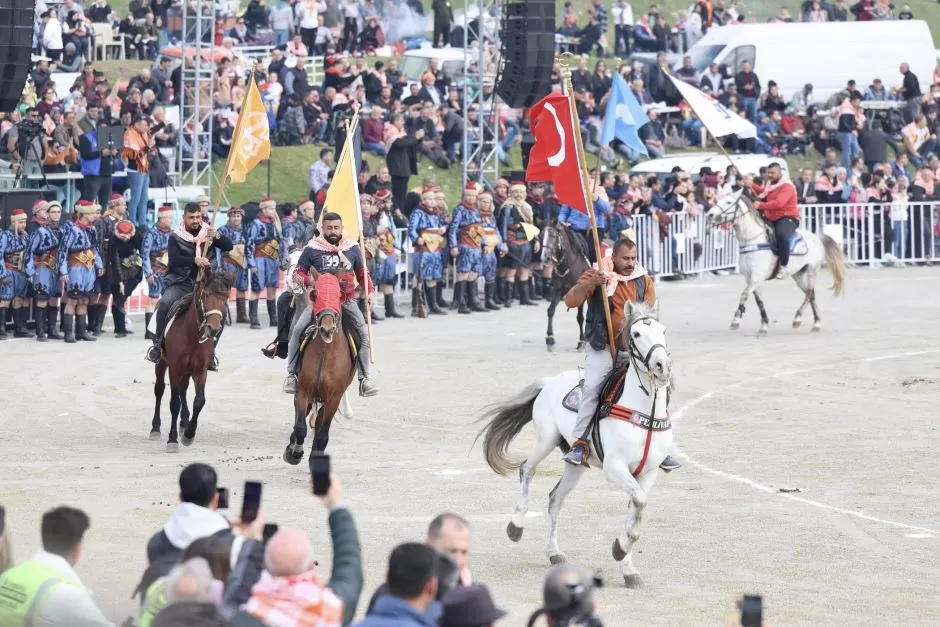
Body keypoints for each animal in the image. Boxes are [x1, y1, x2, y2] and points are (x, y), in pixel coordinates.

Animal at [151, 270, 233, 452]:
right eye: (207, 295)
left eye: (225, 297)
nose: (213, 329)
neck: (191, 335)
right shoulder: (175, 368)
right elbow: (174, 403)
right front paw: (172, 440)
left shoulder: (200, 370)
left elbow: (199, 401)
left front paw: (189, 434)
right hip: (162, 363)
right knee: (159, 390)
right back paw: (155, 427)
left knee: (183, 390)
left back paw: (184, 423)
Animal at [282, 274, 356, 466]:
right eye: (316, 295)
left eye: (339, 296)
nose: (326, 328)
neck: (326, 353)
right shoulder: (304, 390)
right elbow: (300, 426)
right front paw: (294, 453)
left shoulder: (334, 397)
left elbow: (323, 431)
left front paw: (316, 457)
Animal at [482, 304, 672, 588]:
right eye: (636, 333)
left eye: (663, 331)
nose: (662, 366)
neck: (643, 410)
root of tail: (549, 382)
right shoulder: (615, 467)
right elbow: (637, 503)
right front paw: (620, 550)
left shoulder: (647, 473)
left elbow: (635, 513)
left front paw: (627, 567)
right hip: (545, 440)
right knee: (526, 468)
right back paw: (515, 527)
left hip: (575, 464)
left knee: (555, 499)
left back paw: (554, 553)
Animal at [704, 191, 844, 336]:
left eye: (728, 202)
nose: (709, 215)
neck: (752, 240)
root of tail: (817, 237)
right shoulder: (750, 278)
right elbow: (759, 301)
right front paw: (764, 325)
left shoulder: (756, 277)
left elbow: (744, 295)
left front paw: (736, 320)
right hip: (798, 275)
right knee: (809, 294)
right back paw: (805, 320)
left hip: (812, 271)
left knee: (810, 293)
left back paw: (809, 322)